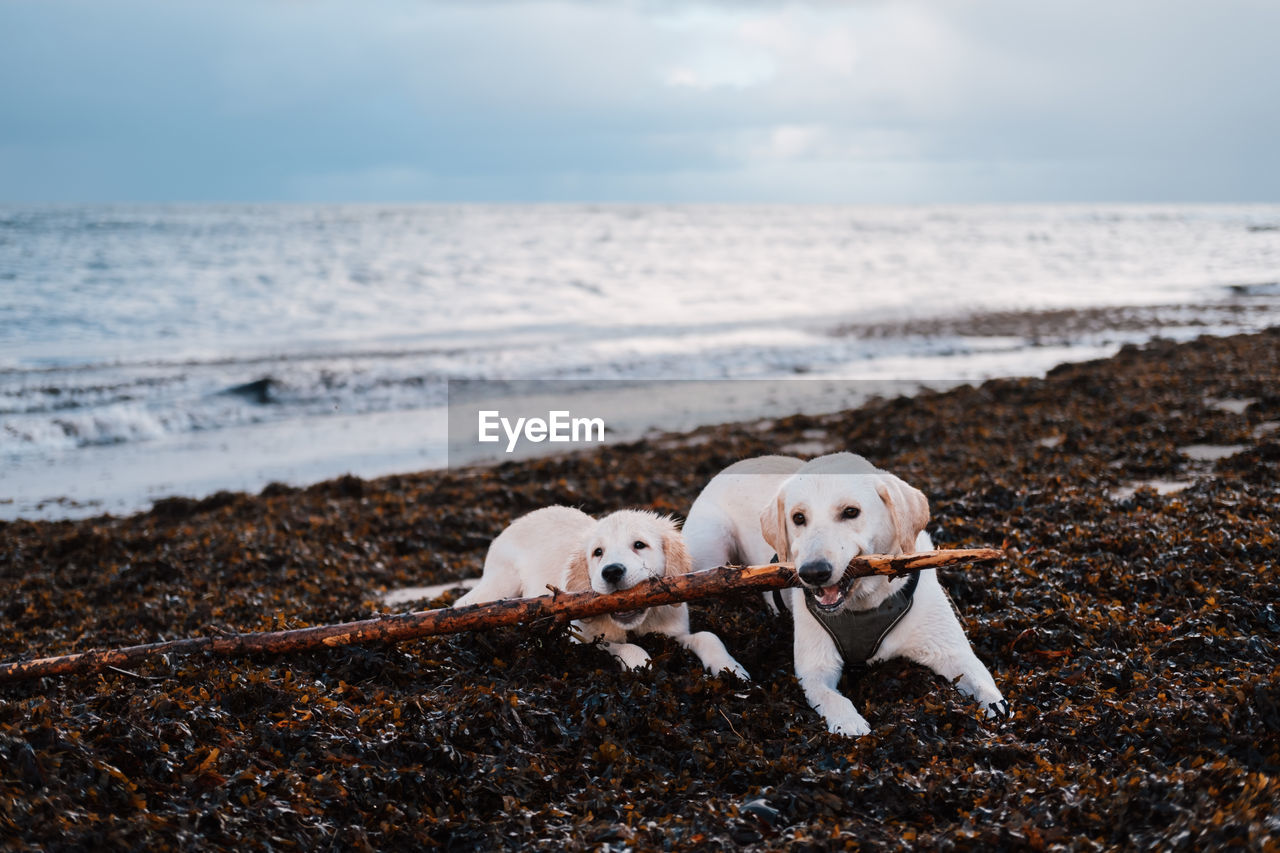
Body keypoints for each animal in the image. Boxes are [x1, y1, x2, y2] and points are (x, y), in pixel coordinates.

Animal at [453, 504, 747, 676]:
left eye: (639, 545)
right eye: (598, 552)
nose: (612, 572)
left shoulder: (673, 632)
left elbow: (708, 635)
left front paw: (731, 667)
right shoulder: (576, 638)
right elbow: (622, 646)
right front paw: (640, 662)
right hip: (501, 582)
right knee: (463, 606)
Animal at [686, 448, 1003, 732]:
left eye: (851, 512)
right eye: (798, 518)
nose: (813, 572)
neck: (866, 603)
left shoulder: (953, 652)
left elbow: (985, 685)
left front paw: (995, 709)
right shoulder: (815, 669)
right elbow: (834, 699)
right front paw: (850, 724)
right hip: (708, 553)